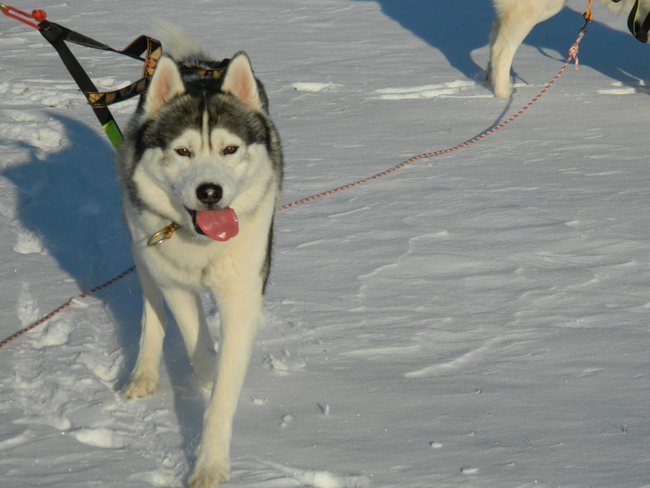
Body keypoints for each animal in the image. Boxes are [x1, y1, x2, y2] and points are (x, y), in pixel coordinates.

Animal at [119, 24, 280, 486]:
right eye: (183, 151)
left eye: (229, 149)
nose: (210, 192)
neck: (203, 242)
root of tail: (201, 66)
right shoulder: (175, 281)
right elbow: (200, 349)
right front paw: (206, 378)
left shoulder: (243, 294)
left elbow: (225, 384)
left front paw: (210, 462)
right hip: (142, 248)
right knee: (151, 307)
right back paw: (144, 372)